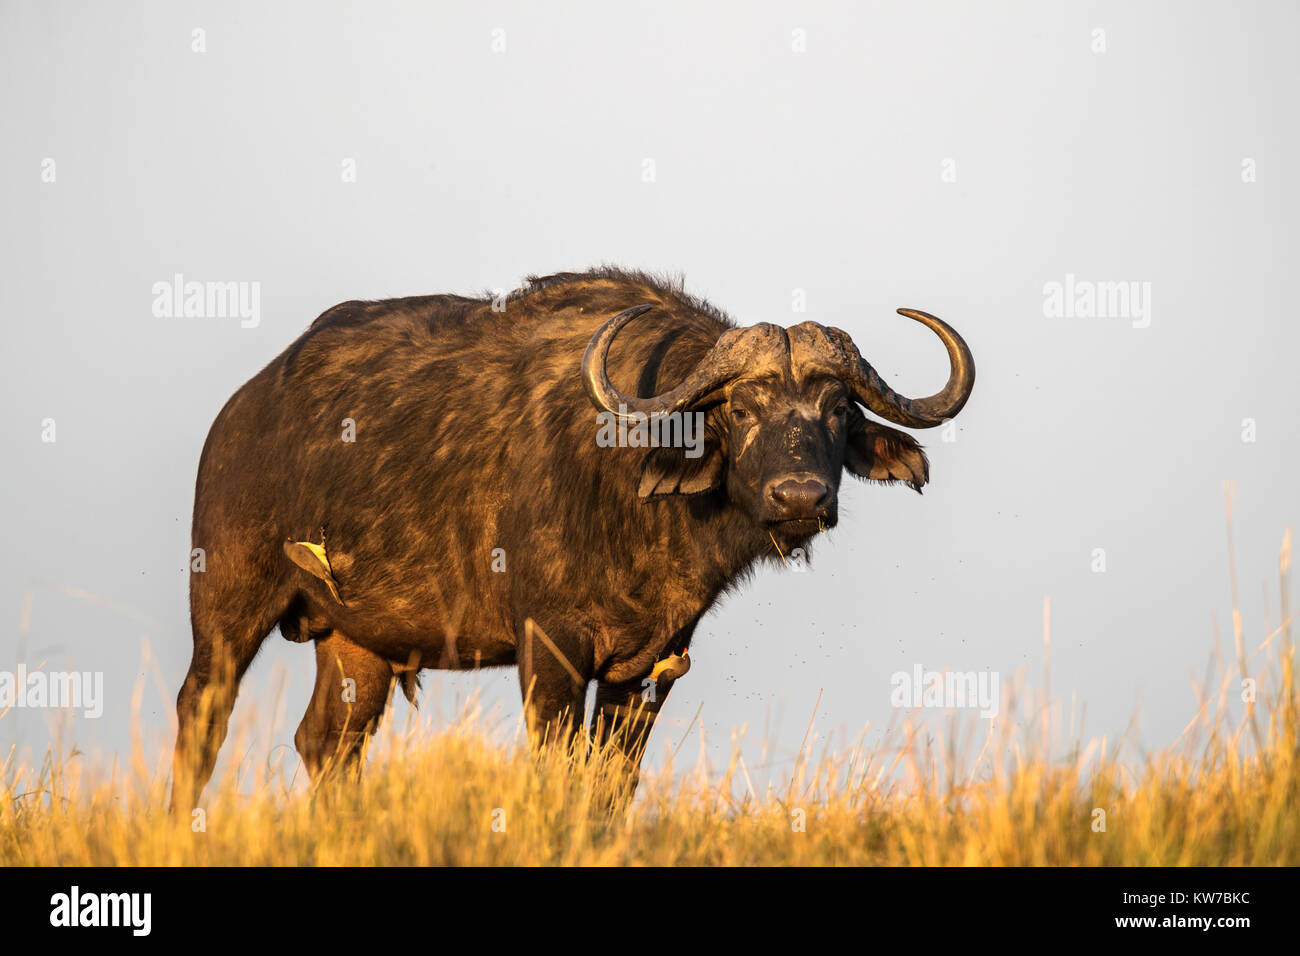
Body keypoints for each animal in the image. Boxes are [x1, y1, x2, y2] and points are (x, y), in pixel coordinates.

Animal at [170, 265, 977, 806]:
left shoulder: (651, 666)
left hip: (357, 644)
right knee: (200, 718)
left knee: (329, 745)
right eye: (742, 407)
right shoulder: (549, 650)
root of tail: (242, 409)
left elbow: (611, 783)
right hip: (227, 606)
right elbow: (556, 770)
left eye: (838, 409)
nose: (801, 496)